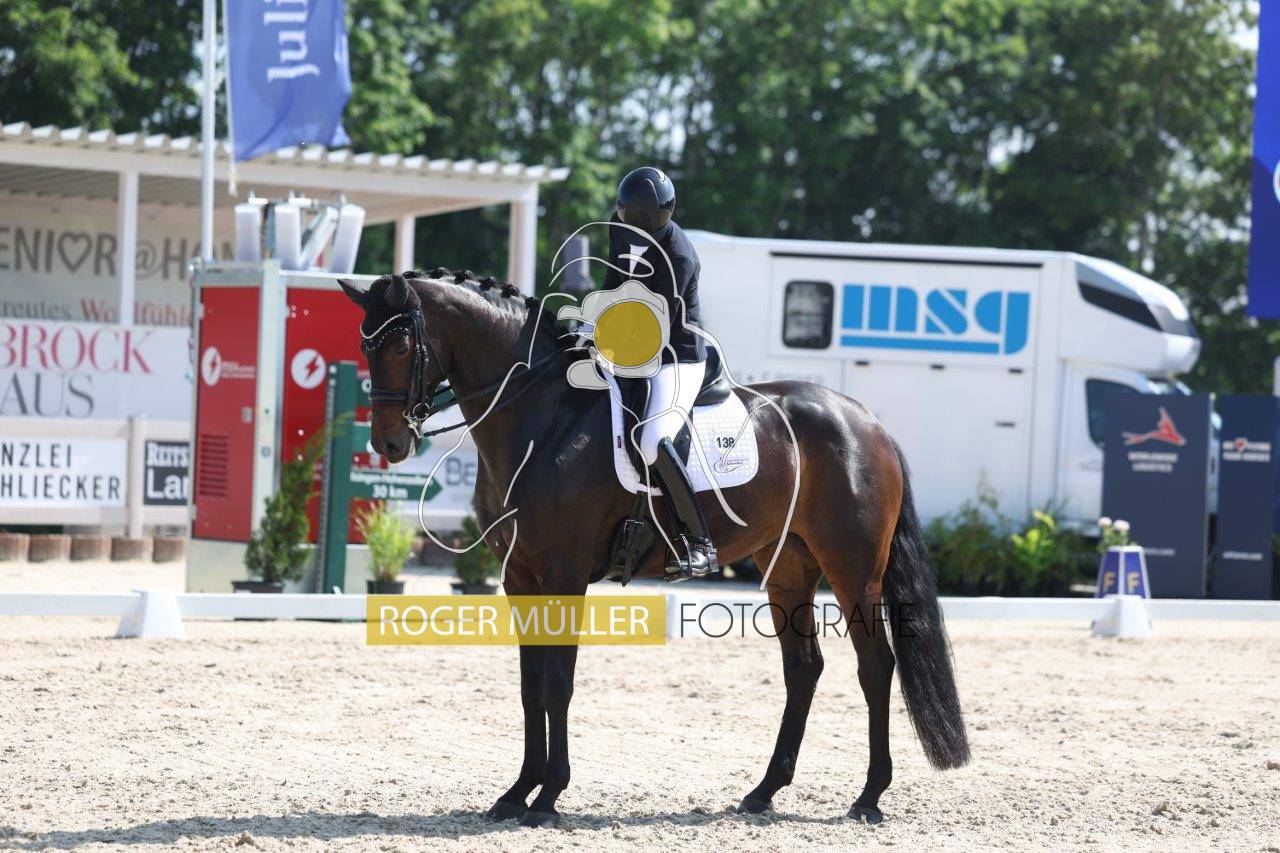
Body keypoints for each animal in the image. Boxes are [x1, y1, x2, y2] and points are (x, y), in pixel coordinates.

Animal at [338, 268, 969, 829]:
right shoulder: (519, 578)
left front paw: (548, 797)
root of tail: (867, 422)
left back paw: (868, 798)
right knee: (803, 668)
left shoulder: (565, 573)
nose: (389, 443)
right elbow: (530, 683)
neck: (541, 416)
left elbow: (559, 682)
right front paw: (517, 792)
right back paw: (763, 792)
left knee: (875, 665)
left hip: (853, 568)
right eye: (364, 346)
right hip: (788, 567)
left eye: (400, 343)